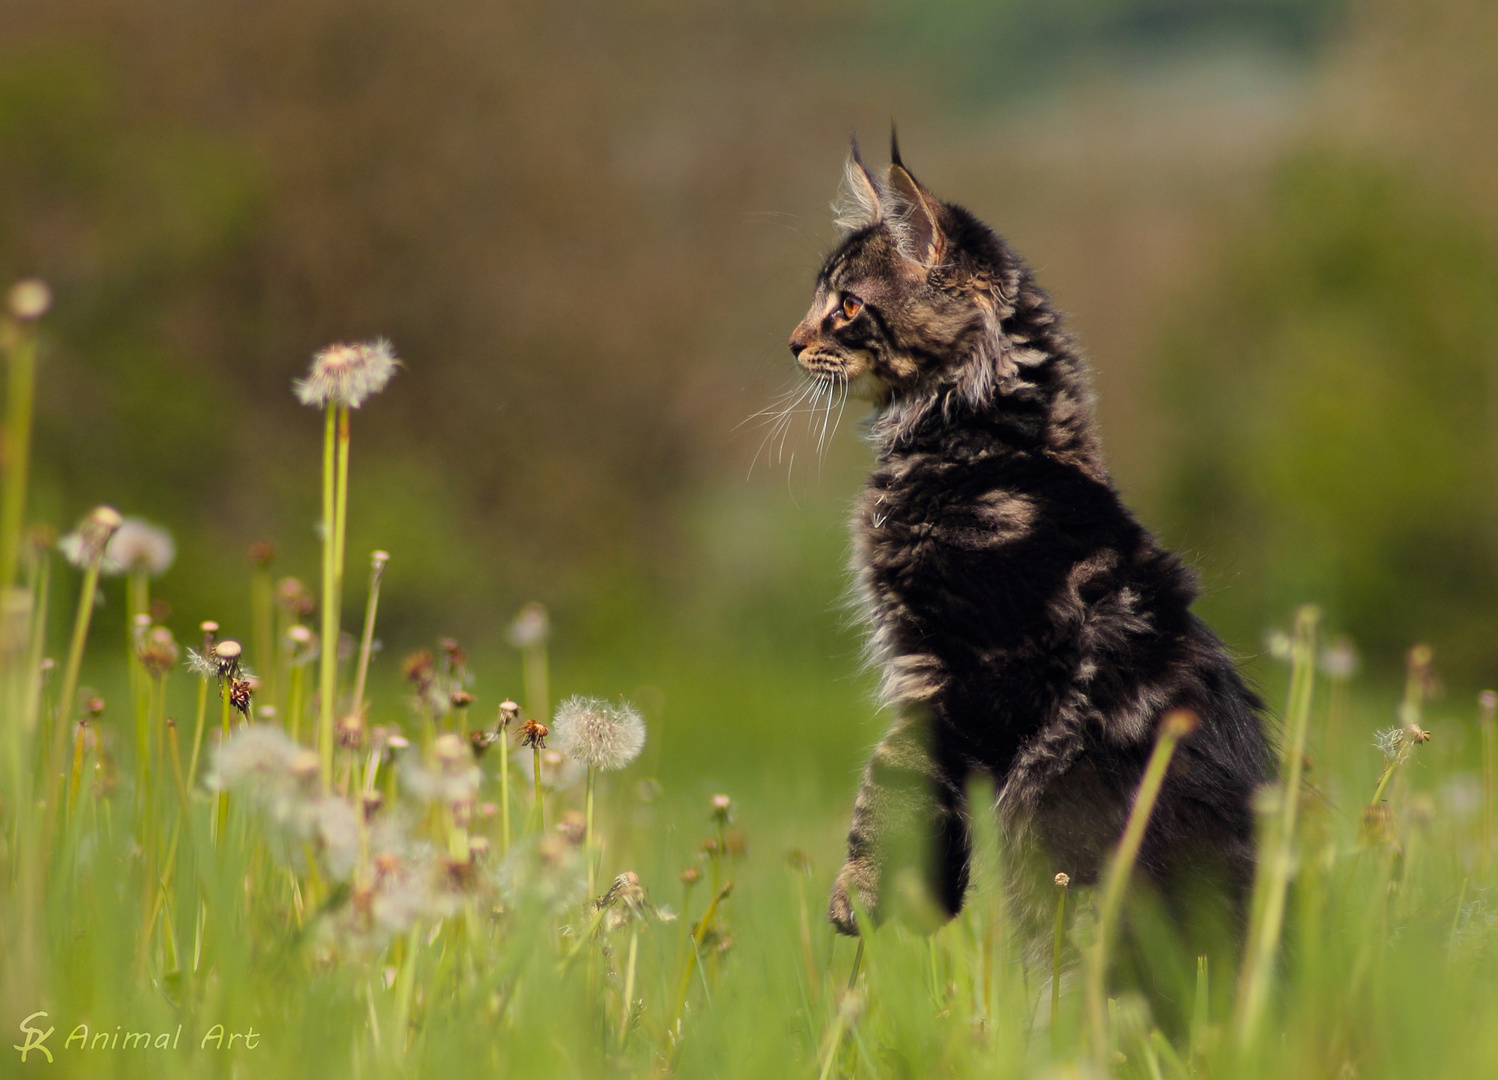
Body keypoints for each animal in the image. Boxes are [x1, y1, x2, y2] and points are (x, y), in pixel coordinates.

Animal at [790, 134, 1270, 988]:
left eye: (845, 304)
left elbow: (890, 775)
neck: (988, 445)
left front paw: (864, 892)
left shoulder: (976, 669)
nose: (790, 342)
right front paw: (925, 901)